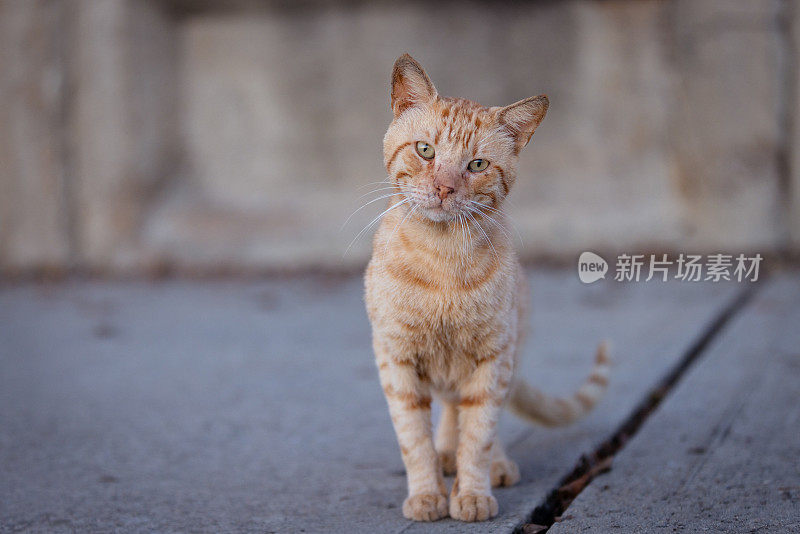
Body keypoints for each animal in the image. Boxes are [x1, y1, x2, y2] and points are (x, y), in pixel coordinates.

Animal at [362, 54, 608, 524]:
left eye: (476, 165)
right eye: (426, 150)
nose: (443, 187)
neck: (440, 258)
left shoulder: (493, 358)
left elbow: (478, 434)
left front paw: (472, 492)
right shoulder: (396, 358)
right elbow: (413, 439)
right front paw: (428, 495)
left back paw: (493, 464)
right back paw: (445, 456)